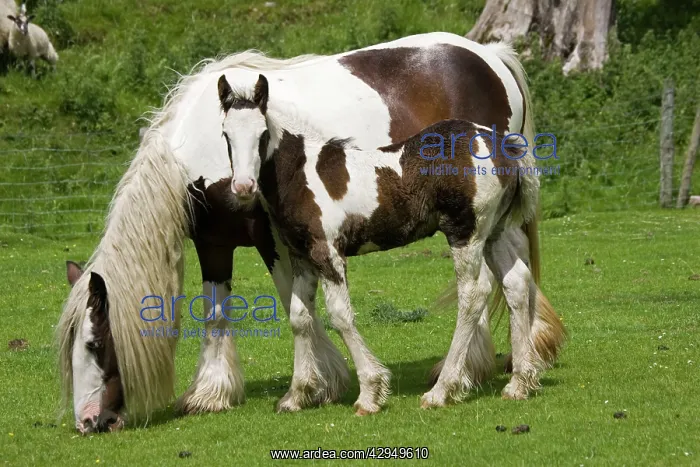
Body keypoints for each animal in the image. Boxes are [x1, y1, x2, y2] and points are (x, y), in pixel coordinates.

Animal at [217, 72, 548, 412]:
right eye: (226, 134)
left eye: (261, 134)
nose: (243, 186)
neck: (301, 173)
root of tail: (501, 145)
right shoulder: (302, 256)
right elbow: (299, 316)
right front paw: (297, 395)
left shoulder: (328, 252)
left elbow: (340, 315)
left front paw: (370, 392)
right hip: (494, 233)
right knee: (516, 283)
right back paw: (519, 383)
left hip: (465, 233)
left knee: (474, 293)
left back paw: (442, 390)